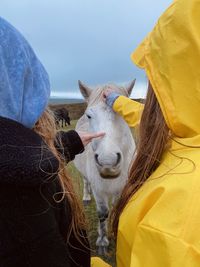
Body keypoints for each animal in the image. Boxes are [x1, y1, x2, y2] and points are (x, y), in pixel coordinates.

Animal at [73, 81, 136, 255]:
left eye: (124, 113)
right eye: (89, 116)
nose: (108, 161)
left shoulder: (121, 188)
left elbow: (115, 208)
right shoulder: (98, 189)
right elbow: (103, 213)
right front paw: (102, 242)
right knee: (85, 181)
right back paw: (86, 197)